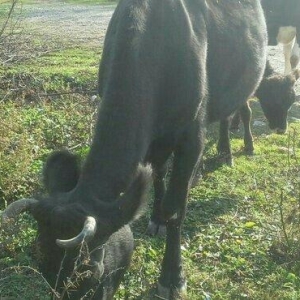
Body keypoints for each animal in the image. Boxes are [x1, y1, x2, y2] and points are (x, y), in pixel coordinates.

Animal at [0, 1, 268, 298]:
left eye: (91, 273)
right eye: (40, 265)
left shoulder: (192, 136)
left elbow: (176, 208)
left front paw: (172, 277)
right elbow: (157, 177)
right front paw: (157, 218)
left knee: (235, 113)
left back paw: (231, 152)